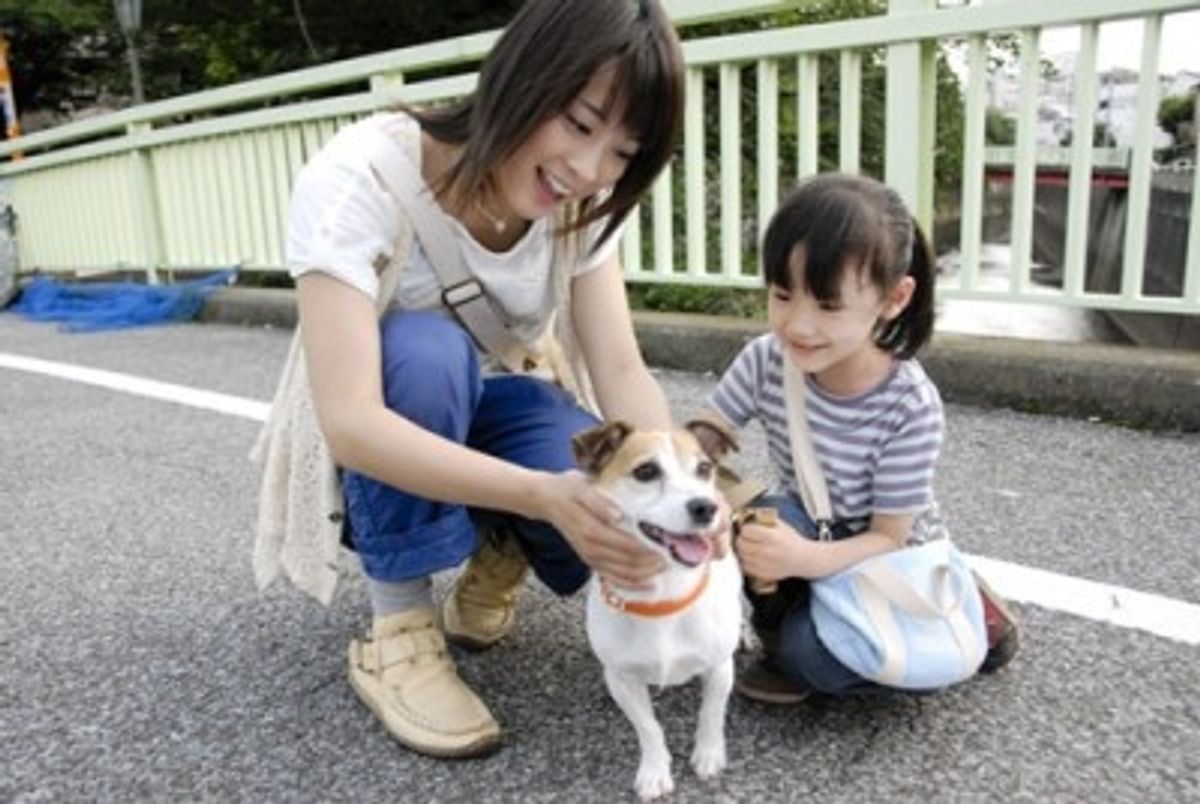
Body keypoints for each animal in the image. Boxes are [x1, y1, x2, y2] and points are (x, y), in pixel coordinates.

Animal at [573, 420, 739, 801]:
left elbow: (712, 713)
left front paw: (709, 754)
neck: (665, 596)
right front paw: (654, 771)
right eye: (646, 472)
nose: (706, 507)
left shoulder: (720, 668)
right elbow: (648, 728)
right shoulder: (622, 680)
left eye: (703, 469)